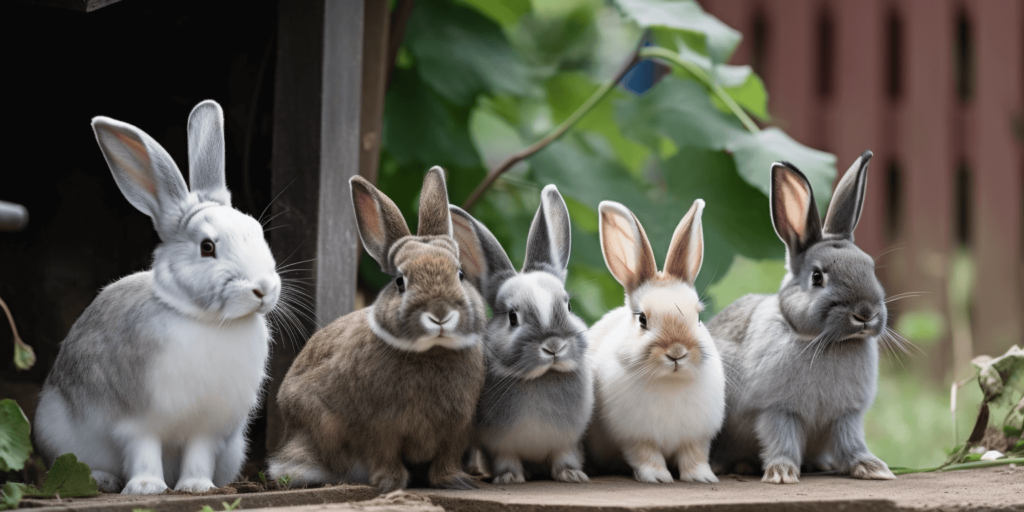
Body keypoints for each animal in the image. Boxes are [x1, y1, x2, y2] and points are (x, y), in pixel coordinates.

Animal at [33, 100, 281, 495]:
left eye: (256, 231)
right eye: (207, 247)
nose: (264, 289)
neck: (204, 319)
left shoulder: (208, 428)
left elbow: (198, 454)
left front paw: (196, 487)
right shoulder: (137, 422)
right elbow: (143, 450)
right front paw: (147, 487)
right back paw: (104, 480)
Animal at [267, 167, 487, 494]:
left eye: (460, 274)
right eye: (400, 281)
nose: (440, 314)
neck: (431, 351)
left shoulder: (458, 427)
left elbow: (446, 459)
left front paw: (456, 482)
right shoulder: (380, 427)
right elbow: (384, 455)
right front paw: (390, 484)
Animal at [448, 185, 594, 485]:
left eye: (568, 306)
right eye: (513, 317)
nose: (553, 345)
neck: (540, 378)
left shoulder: (568, 442)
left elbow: (564, 458)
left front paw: (572, 475)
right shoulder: (499, 445)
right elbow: (507, 460)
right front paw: (509, 478)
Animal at [585, 199, 725, 484]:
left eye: (698, 317)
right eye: (642, 319)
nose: (677, 352)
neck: (669, 383)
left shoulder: (696, 438)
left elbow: (694, 457)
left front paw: (702, 478)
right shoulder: (635, 438)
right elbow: (647, 456)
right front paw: (659, 477)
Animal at [707, 152, 897, 484]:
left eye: (870, 267)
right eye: (817, 277)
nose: (865, 314)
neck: (827, 342)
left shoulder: (846, 415)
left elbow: (851, 442)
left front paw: (873, 468)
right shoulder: (777, 410)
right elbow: (782, 440)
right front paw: (782, 473)